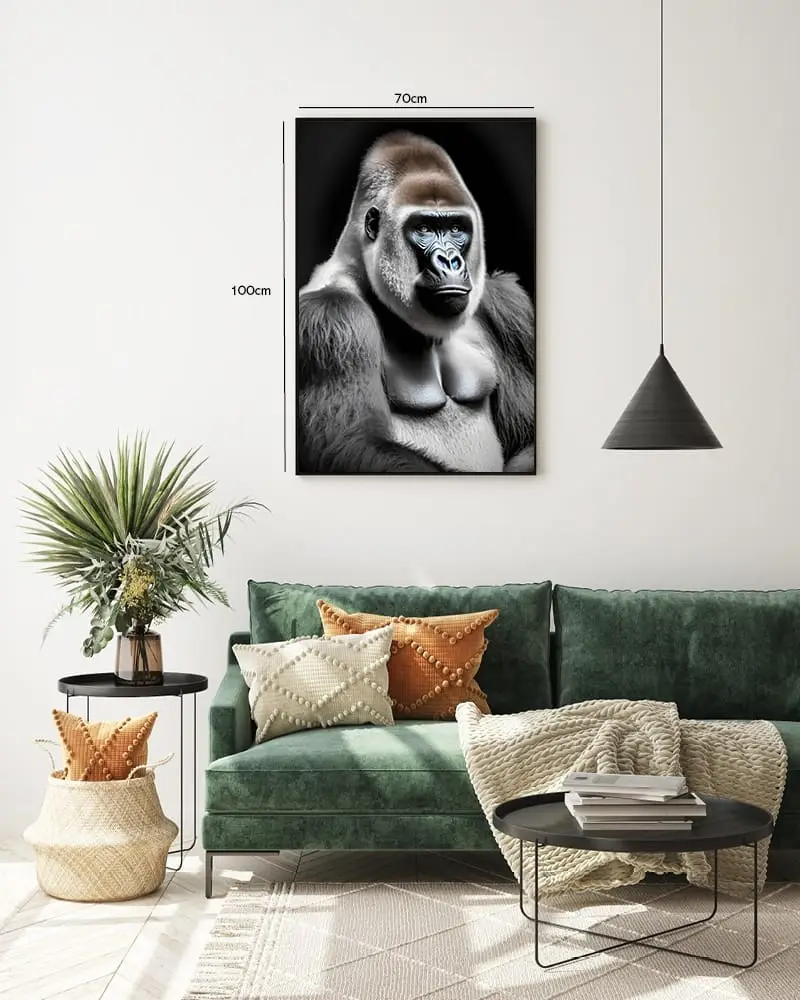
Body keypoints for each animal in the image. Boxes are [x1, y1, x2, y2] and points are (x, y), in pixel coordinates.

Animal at [298, 130, 535, 474]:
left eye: (455, 228)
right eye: (423, 228)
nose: (450, 261)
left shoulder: (506, 306)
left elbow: (528, 437)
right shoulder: (332, 318)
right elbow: (350, 443)